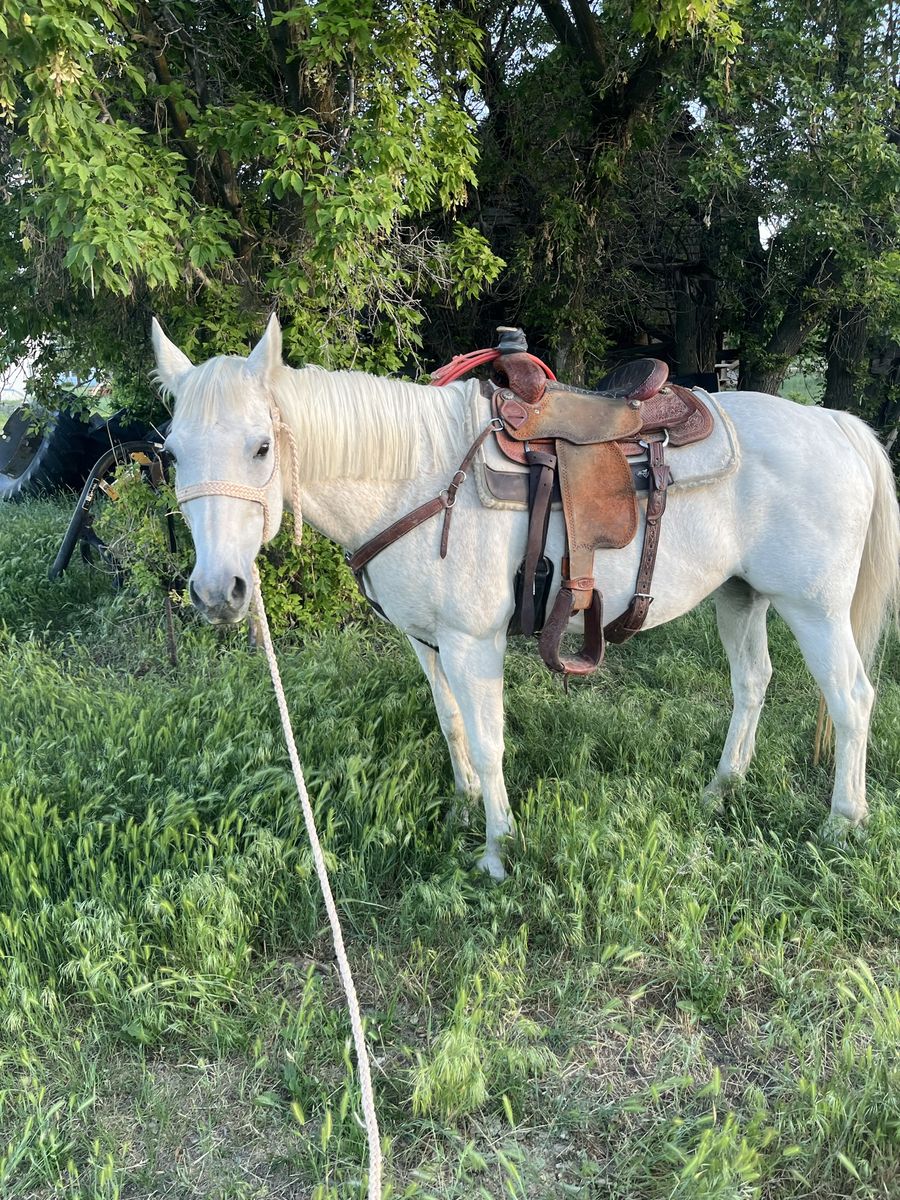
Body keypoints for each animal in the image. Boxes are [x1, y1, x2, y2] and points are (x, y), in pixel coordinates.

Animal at [152, 315, 900, 880]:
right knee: (753, 683)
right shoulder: (426, 642)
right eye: (173, 453)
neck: (415, 476)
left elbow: (488, 742)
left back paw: (842, 822)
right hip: (742, 596)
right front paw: (464, 809)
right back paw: (723, 789)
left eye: (259, 448)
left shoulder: (470, 643)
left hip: (814, 609)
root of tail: (838, 424)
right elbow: (452, 725)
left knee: (851, 700)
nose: (218, 591)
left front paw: (497, 850)